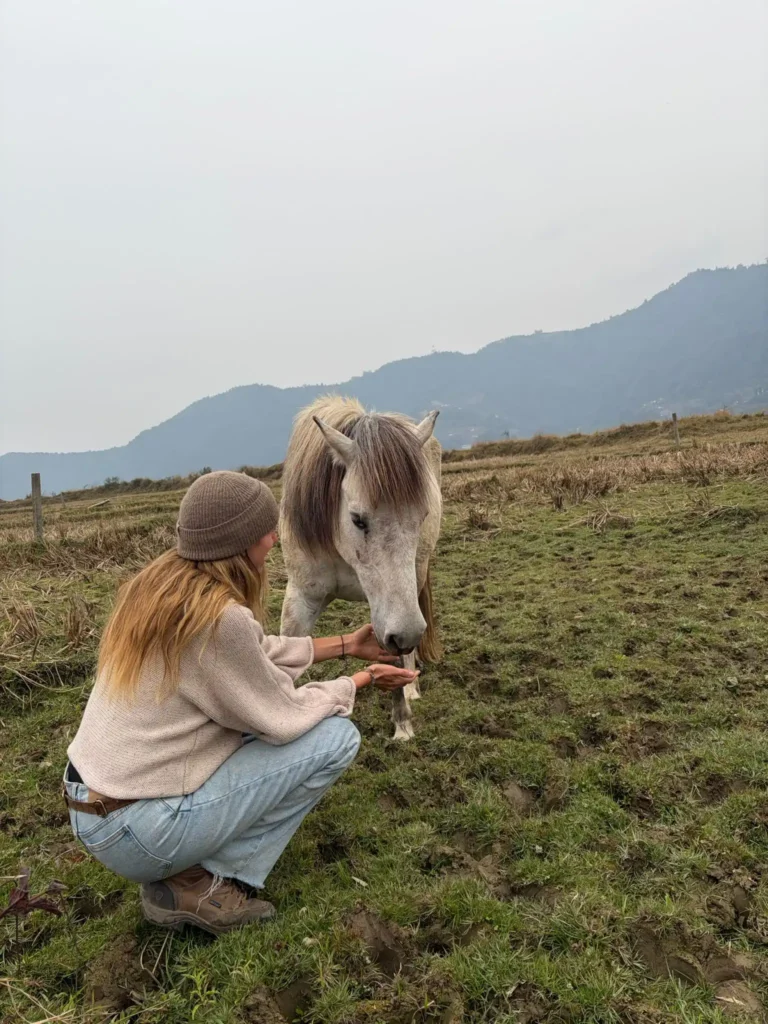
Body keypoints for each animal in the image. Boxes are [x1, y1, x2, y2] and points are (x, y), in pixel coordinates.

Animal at [279, 395, 443, 740]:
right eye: (357, 519)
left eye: (422, 516)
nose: (407, 633)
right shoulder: (301, 597)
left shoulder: (392, 611)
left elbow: (395, 654)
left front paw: (402, 724)